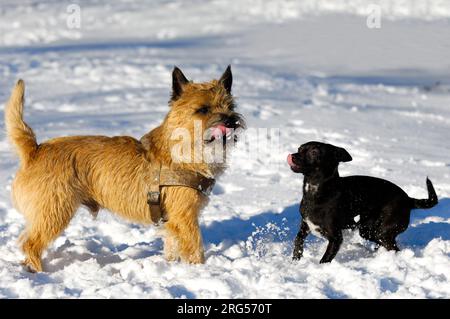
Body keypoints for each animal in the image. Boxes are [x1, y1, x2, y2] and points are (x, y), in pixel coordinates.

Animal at [3, 67, 244, 272]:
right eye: (203, 109)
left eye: (231, 107)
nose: (231, 121)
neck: (184, 148)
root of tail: (34, 150)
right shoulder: (185, 219)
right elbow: (195, 249)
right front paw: (200, 270)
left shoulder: (172, 222)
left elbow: (171, 247)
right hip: (54, 212)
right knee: (30, 243)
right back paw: (39, 270)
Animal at [286, 141, 438, 264]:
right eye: (299, 149)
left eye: (314, 152)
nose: (292, 156)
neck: (316, 191)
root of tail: (408, 199)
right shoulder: (305, 225)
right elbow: (298, 241)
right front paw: (295, 261)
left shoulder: (336, 238)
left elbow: (325, 258)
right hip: (368, 230)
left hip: (383, 232)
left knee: (394, 248)